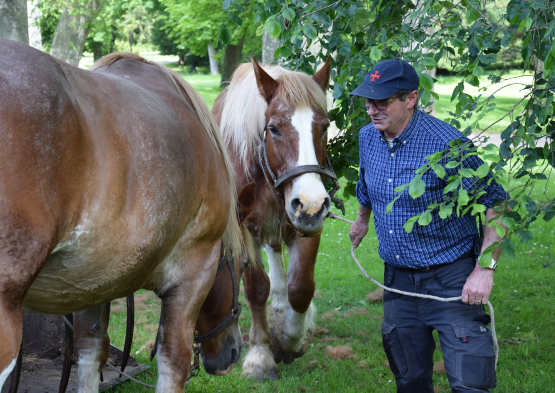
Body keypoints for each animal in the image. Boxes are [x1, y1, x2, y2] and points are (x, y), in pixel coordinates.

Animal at [0, 40, 248, 392]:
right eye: (244, 265)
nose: (233, 350)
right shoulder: (193, 273)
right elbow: (174, 362)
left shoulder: (88, 281)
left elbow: (90, 356)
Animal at [212, 56, 334, 376]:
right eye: (274, 129)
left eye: (325, 127)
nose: (311, 202)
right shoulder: (245, 228)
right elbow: (257, 289)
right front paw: (260, 353)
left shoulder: (309, 223)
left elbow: (301, 287)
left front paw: (289, 339)